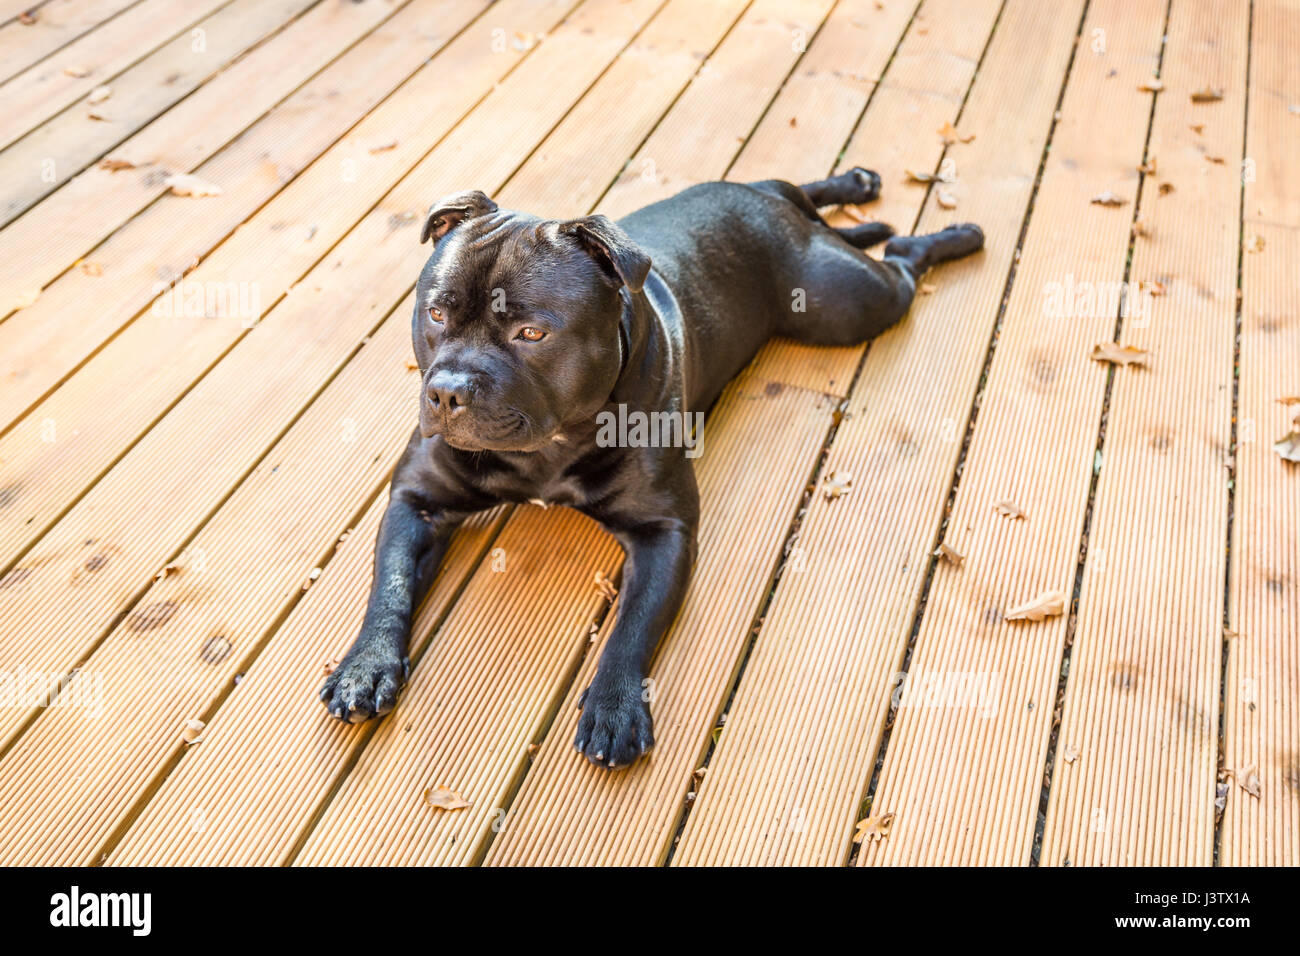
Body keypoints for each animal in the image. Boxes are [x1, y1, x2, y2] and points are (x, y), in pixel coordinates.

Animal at [319, 167, 977, 770]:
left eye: (532, 333)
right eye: (435, 315)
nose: (448, 391)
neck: (551, 447)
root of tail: (764, 205)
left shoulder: (664, 533)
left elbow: (633, 626)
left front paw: (615, 707)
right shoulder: (417, 500)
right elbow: (389, 584)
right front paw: (365, 665)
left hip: (845, 303)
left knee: (899, 260)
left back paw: (954, 233)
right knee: (805, 191)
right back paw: (857, 185)